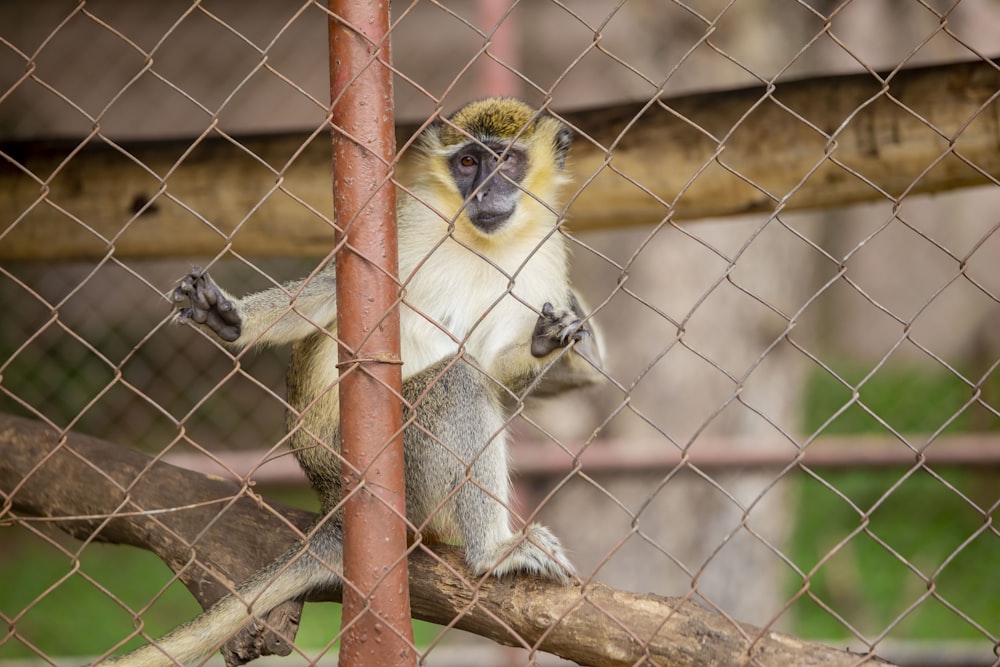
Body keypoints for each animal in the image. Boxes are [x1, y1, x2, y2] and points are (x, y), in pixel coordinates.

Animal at [101, 99, 600, 667]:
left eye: (507, 161)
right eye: (469, 162)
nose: (485, 192)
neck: (484, 242)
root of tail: (334, 509)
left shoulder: (544, 256)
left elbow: (500, 375)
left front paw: (546, 342)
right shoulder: (404, 226)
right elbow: (329, 295)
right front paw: (231, 319)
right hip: (383, 478)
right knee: (455, 380)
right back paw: (492, 551)